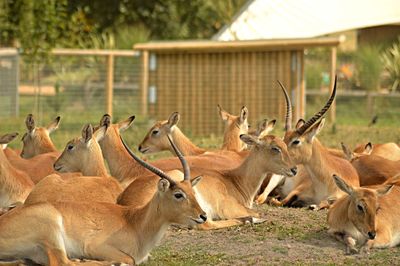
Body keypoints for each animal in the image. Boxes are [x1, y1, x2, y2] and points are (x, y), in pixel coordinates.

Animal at [0, 135, 206, 266]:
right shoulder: (97, 246)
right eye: (178, 194)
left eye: (192, 191)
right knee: (63, 263)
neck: (134, 223)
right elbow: (130, 259)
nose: (203, 216)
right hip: (52, 231)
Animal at [119, 133, 296, 229]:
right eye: (275, 148)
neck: (235, 180)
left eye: (285, 145)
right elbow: (257, 212)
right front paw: (254, 218)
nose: (294, 169)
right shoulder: (229, 208)